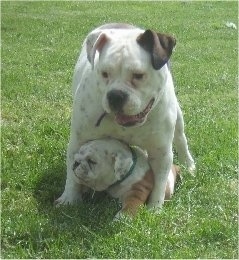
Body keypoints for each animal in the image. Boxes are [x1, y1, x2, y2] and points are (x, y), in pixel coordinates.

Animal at [56, 22, 196, 209]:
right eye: (104, 73)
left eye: (138, 75)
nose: (115, 95)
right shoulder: (79, 141)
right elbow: (72, 175)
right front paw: (69, 198)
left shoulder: (161, 153)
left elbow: (160, 183)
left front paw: (155, 208)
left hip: (178, 121)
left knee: (181, 140)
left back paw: (189, 164)